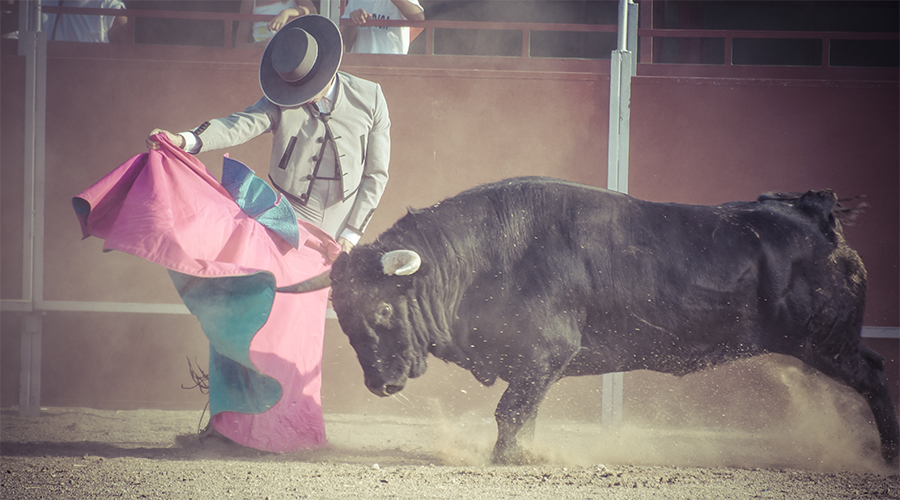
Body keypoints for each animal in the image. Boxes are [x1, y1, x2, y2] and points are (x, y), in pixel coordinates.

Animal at [278, 177, 896, 464]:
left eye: (384, 308)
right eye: (344, 317)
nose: (381, 384)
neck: (483, 258)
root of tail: (816, 214)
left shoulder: (546, 354)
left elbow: (509, 413)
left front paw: (504, 461)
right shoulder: (535, 368)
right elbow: (524, 414)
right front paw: (523, 456)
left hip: (827, 342)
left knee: (873, 376)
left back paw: (886, 456)